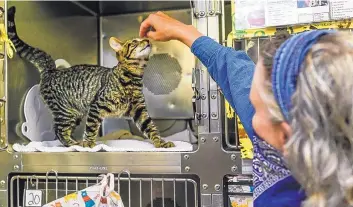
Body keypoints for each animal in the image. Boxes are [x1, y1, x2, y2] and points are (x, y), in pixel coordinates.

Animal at [6, 6, 175, 148]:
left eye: (143, 39)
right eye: (134, 42)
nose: (146, 40)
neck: (133, 78)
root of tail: (52, 71)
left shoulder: (139, 110)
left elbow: (150, 127)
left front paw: (161, 142)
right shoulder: (96, 106)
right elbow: (92, 127)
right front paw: (88, 144)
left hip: (75, 114)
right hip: (65, 112)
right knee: (59, 130)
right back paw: (73, 144)